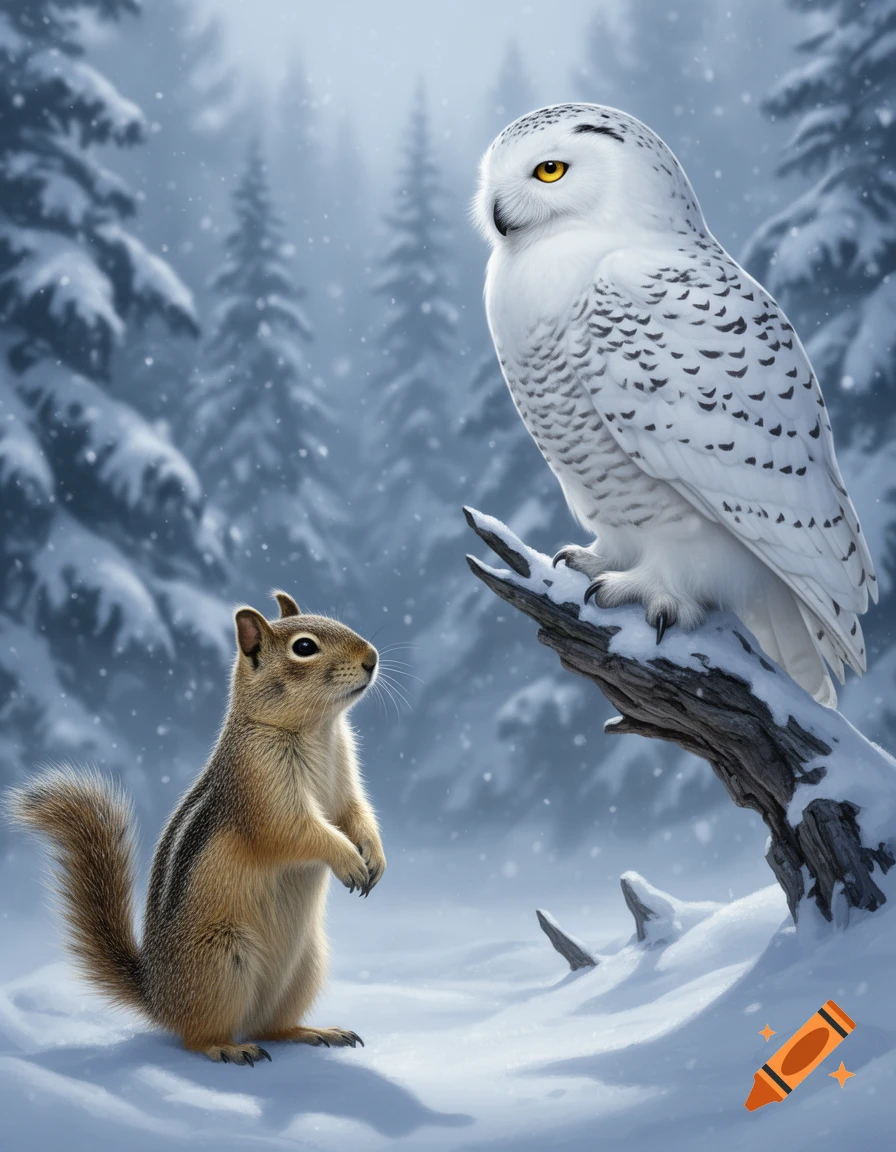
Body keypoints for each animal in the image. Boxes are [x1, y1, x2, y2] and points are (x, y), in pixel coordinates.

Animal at [7, 590, 386, 1066]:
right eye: (304, 647)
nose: (372, 658)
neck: (319, 728)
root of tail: (157, 995)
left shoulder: (344, 777)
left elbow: (355, 814)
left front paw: (374, 854)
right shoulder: (259, 789)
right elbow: (295, 831)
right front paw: (348, 859)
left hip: (306, 966)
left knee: (272, 1025)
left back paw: (313, 1031)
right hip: (222, 960)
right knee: (197, 1035)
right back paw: (227, 1047)